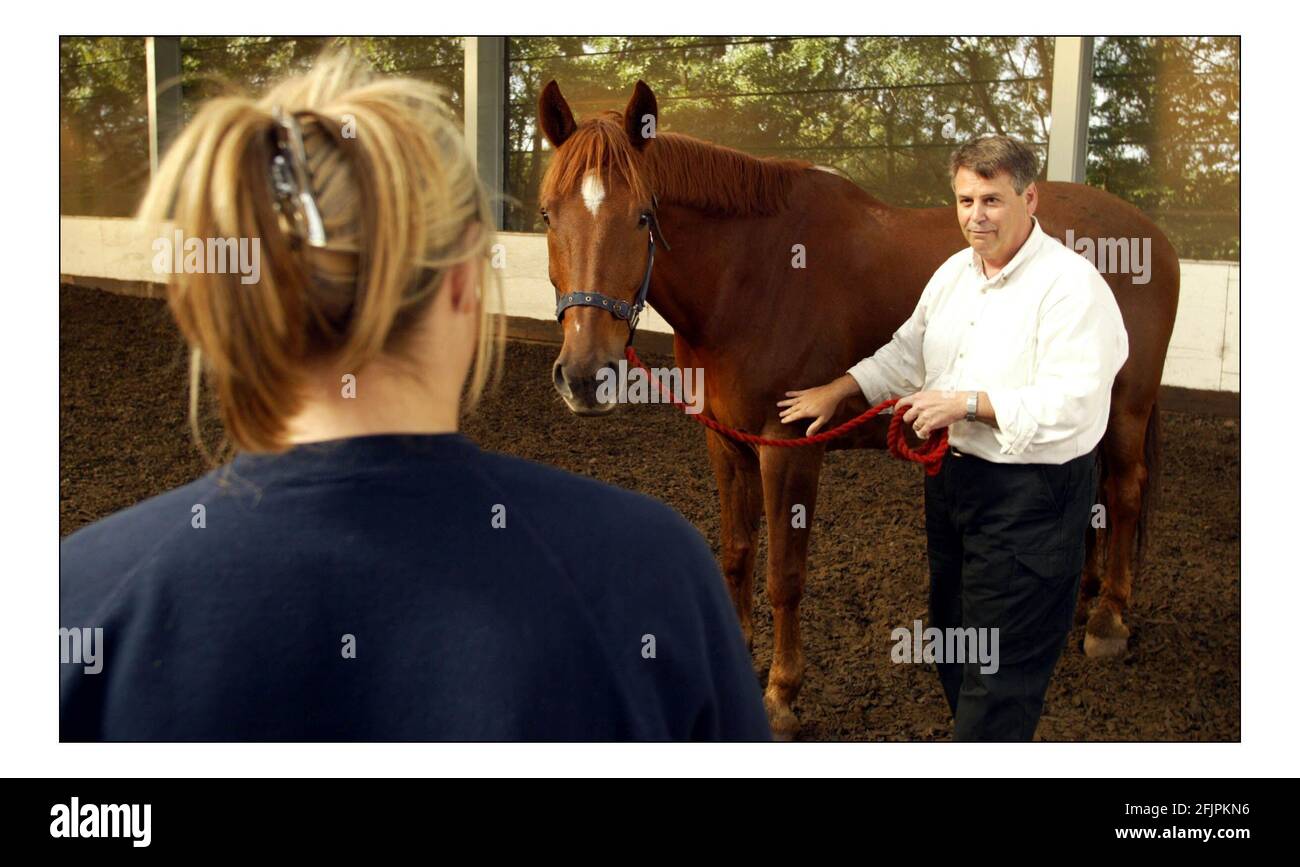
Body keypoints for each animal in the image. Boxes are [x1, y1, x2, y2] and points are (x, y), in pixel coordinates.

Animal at [535, 81, 1180, 738]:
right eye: (546, 215)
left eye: (643, 216)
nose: (586, 375)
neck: (753, 275)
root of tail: (1148, 235)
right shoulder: (727, 441)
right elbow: (737, 555)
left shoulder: (788, 449)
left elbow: (783, 576)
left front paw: (782, 694)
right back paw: (1084, 601)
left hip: (1125, 408)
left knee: (1124, 492)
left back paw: (1108, 620)